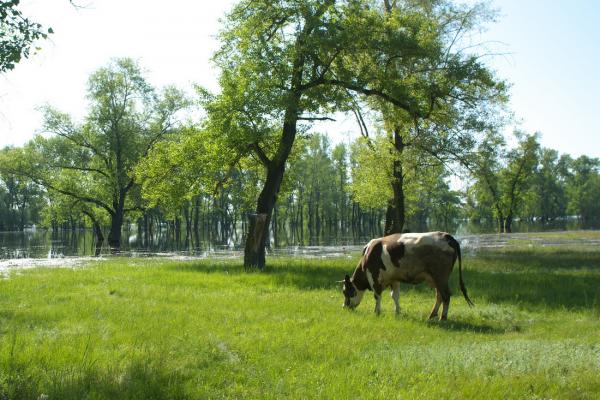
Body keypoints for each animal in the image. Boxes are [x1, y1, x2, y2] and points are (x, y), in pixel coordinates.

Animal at [342, 231, 474, 318]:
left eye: (346, 291)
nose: (344, 307)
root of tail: (446, 235)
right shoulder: (394, 279)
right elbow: (395, 296)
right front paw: (397, 312)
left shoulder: (375, 277)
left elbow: (377, 296)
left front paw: (377, 312)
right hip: (436, 278)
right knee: (439, 295)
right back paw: (432, 315)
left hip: (440, 276)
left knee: (446, 295)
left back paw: (443, 318)